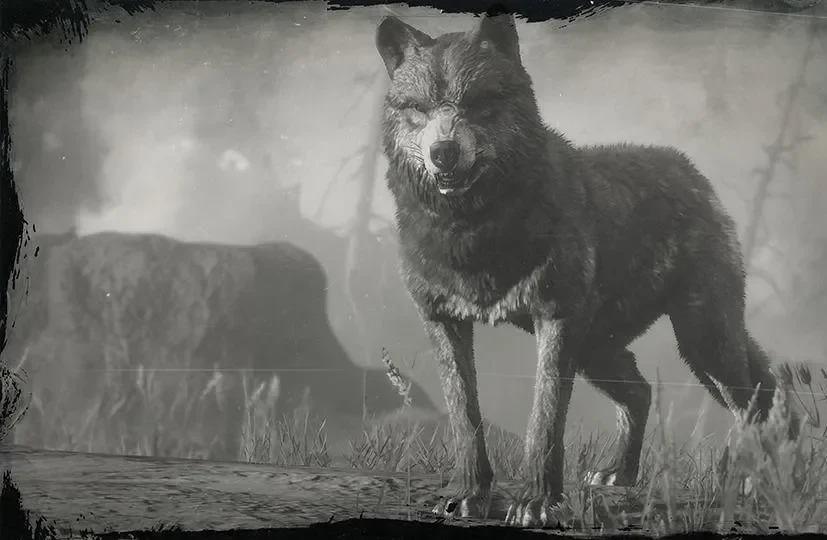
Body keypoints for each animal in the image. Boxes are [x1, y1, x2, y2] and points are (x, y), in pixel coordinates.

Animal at [376, 12, 796, 528]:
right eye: (418, 108)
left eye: (478, 103)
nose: (444, 153)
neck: (475, 230)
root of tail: (691, 172)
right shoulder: (443, 323)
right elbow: (465, 422)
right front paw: (469, 494)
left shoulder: (555, 322)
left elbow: (543, 421)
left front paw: (536, 502)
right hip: (604, 349)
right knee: (644, 392)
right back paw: (621, 474)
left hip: (701, 342)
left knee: (754, 401)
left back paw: (759, 483)